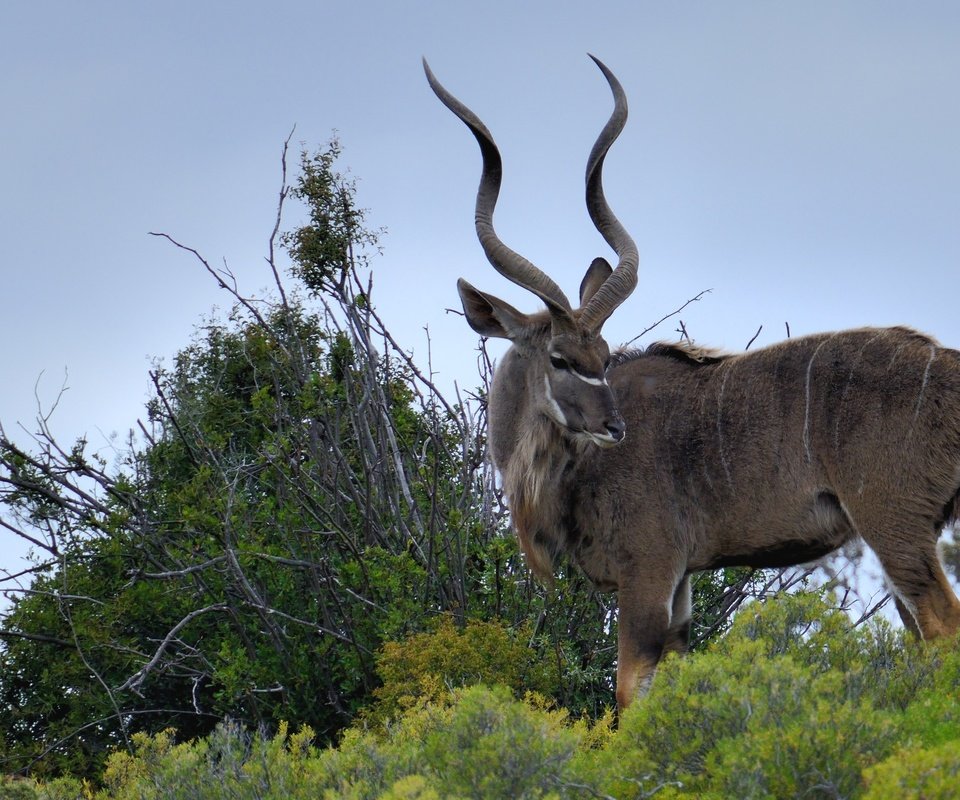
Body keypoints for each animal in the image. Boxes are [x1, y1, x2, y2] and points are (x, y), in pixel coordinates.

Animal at [424, 56, 960, 708]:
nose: (614, 427)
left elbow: (631, 692)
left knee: (942, 629)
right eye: (560, 357)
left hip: (893, 524)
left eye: (602, 354)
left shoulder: (648, 570)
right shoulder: (679, 583)